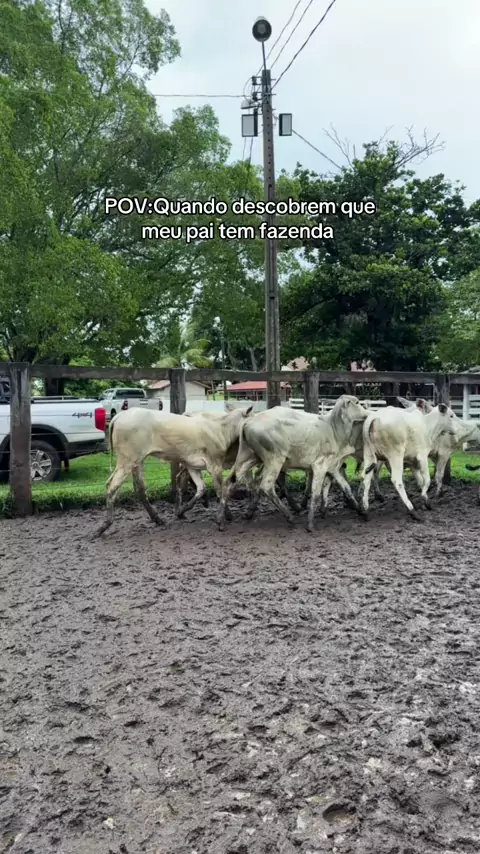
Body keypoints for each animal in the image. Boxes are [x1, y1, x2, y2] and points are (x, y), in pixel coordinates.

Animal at [93, 404, 254, 537]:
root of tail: (120, 416)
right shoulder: (214, 466)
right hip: (128, 460)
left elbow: (201, 488)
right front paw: (226, 516)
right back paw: (103, 527)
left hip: (136, 462)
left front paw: (182, 510)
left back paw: (158, 519)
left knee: (138, 488)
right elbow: (220, 491)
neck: (220, 429)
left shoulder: (193, 466)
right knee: (112, 487)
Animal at [220, 395, 369, 532]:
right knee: (266, 486)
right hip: (274, 459)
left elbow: (346, 487)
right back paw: (290, 516)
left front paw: (360, 511)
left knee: (229, 481)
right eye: (357, 402)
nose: (367, 413)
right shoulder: (319, 466)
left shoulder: (332, 467)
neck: (334, 430)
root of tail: (248, 422)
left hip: (248, 457)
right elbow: (315, 493)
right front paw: (310, 524)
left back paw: (221, 520)